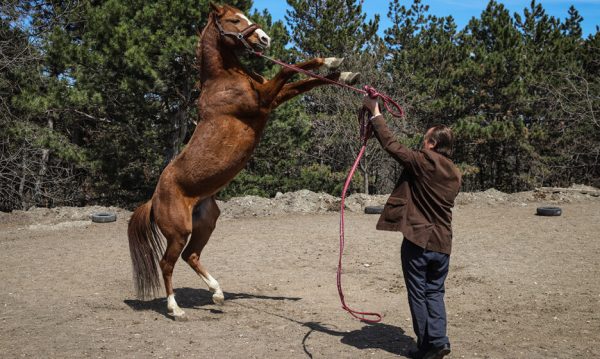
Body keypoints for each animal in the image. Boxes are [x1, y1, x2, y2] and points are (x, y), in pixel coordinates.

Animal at [127, 1, 358, 320]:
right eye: (235, 20)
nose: (264, 39)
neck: (224, 80)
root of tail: (154, 198)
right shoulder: (264, 99)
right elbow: (292, 70)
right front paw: (331, 61)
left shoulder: (273, 98)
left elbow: (305, 81)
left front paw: (343, 72)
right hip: (178, 231)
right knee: (167, 263)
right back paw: (175, 308)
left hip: (206, 223)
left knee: (191, 255)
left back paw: (218, 293)